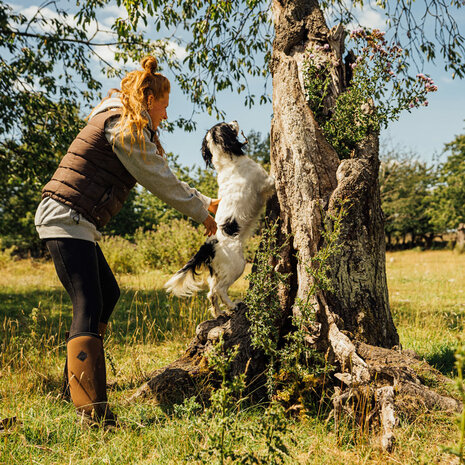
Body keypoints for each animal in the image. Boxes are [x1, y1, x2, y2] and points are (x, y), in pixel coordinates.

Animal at [163, 119, 274, 318]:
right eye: (226, 125)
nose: (235, 120)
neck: (229, 161)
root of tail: (209, 244)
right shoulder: (266, 181)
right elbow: (274, 178)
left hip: (217, 272)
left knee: (211, 292)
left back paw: (218, 313)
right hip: (238, 264)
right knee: (220, 290)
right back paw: (232, 306)